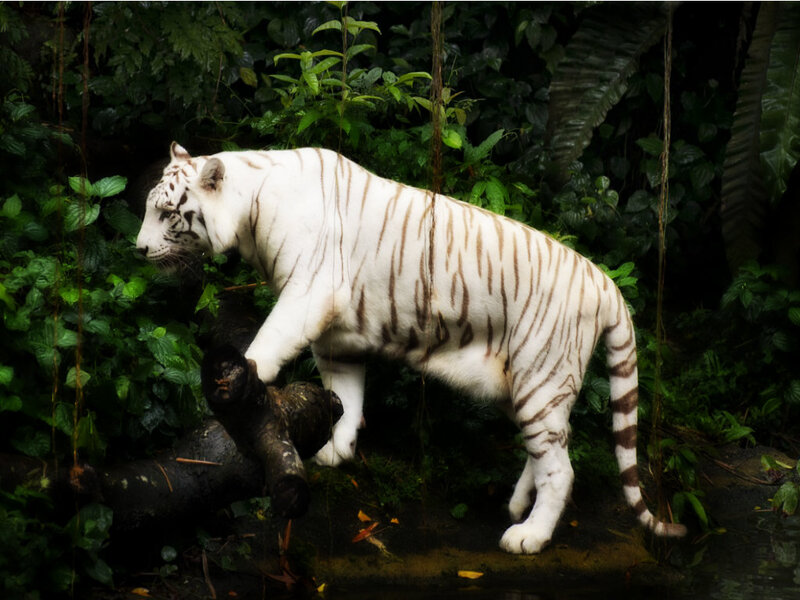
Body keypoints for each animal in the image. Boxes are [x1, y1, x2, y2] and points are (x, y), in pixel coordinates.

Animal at [135, 142, 687, 554]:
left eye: (166, 212)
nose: (138, 249)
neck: (251, 209)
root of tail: (606, 282)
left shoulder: (307, 294)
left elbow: (267, 343)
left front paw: (246, 379)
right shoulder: (337, 335)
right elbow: (345, 395)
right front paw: (336, 450)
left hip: (542, 376)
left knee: (561, 469)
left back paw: (527, 535)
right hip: (528, 385)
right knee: (551, 446)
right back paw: (515, 505)